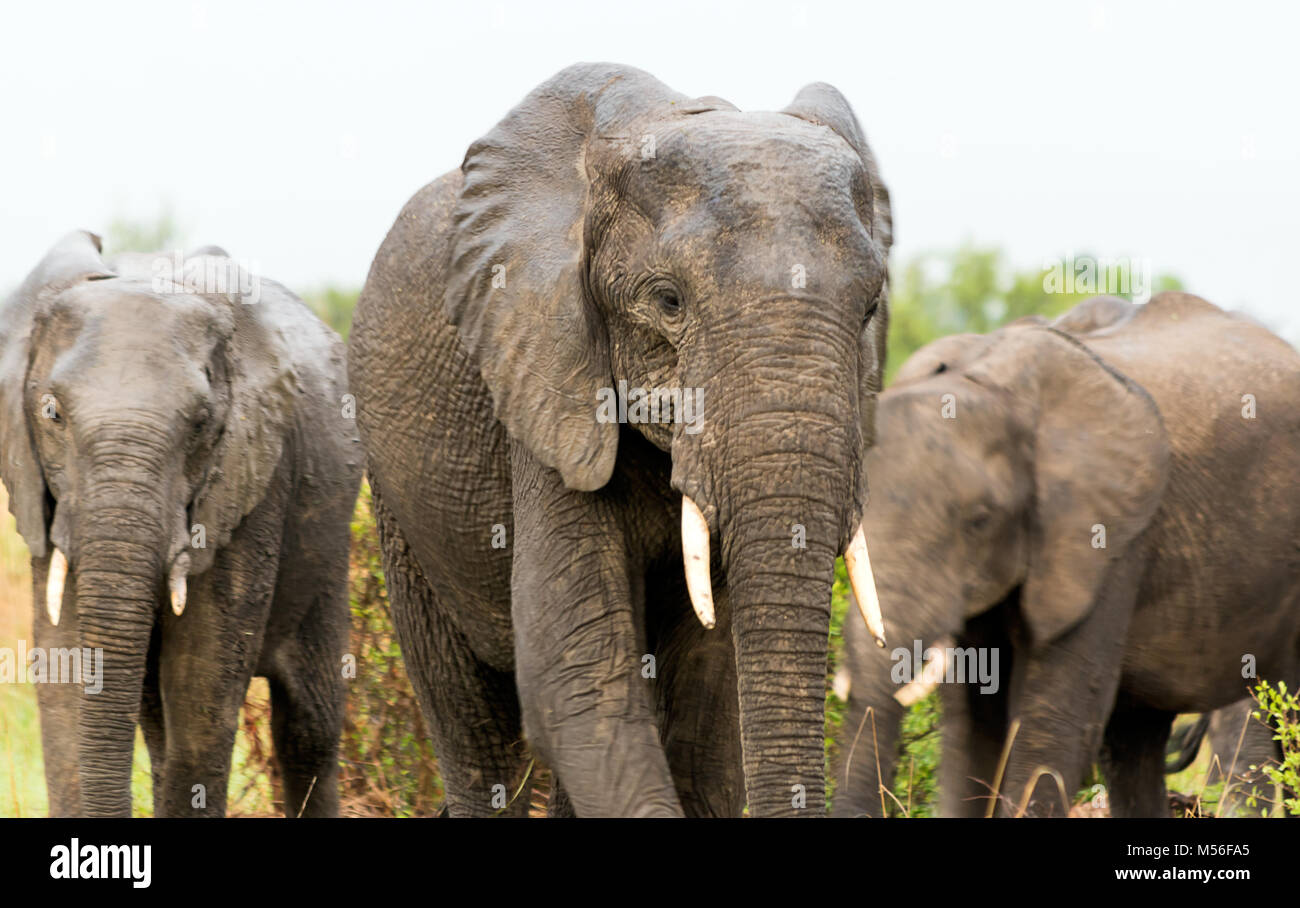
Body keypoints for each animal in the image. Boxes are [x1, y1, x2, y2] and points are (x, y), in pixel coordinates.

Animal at [0, 231, 361, 811]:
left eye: (201, 423)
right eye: (51, 413)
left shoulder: (253, 480)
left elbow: (200, 686)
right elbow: (65, 672)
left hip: (330, 545)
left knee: (309, 725)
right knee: (159, 726)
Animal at [345, 61, 894, 811]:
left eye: (870, 308)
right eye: (668, 301)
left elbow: (704, 702)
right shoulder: (543, 377)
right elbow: (573, 670)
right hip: (399, 507)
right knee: (470, 720)